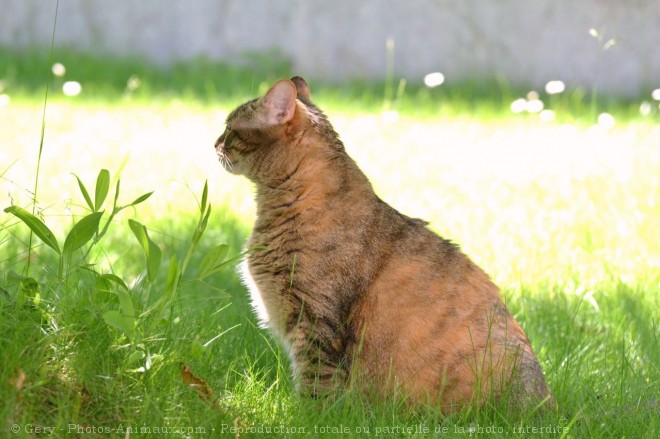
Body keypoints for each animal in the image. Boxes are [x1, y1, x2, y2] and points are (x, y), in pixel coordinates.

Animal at [214, 76, 556, 412]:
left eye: (230, 128)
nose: (215, 143)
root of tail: (549, 407)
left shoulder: (315, 321)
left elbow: (315, 385)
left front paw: (305, 416)